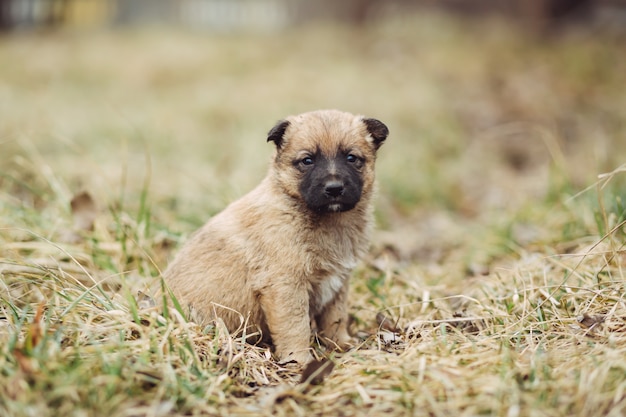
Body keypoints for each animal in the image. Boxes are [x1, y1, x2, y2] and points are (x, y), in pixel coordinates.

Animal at [162, 109, 386, 362]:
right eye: (307, 160)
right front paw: (299, 359)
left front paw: (341, 344)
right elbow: (295, 327)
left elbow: (335, 319)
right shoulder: (285, 285)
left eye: (351, 158)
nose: (334, 188)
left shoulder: (337, 285)